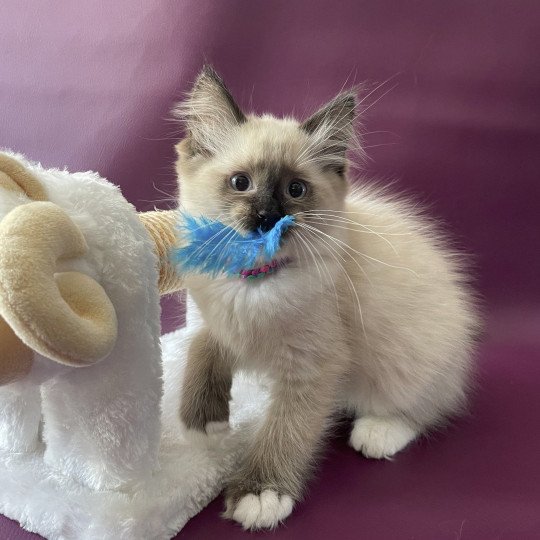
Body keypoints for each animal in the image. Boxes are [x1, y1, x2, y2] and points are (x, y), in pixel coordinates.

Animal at [172, 65, 476, 528]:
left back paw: (378, 432)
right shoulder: (212, 320)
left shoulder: (313, 366)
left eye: (296, 190)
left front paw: (261, 494)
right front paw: (204, 422)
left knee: (427, 407)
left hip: (408, 362)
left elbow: (286, 428)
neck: (252, 283)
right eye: (241, 183)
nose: (268, 217)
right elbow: (202, 351)